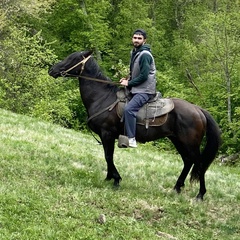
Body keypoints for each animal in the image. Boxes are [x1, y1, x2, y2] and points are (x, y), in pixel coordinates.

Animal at [48, 50, 221, 201]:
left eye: (72, 59)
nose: (52, 69)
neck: (102, 97)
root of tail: (198, 110)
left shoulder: (107, 134)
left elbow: (108, 156)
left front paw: (116, 179)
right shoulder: (106, 136)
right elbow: (107, 156)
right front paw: (108, 178)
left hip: (190, 143)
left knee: (199, 164)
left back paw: (200, 194)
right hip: (178, 141)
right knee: (187, 161)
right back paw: (177, 187)